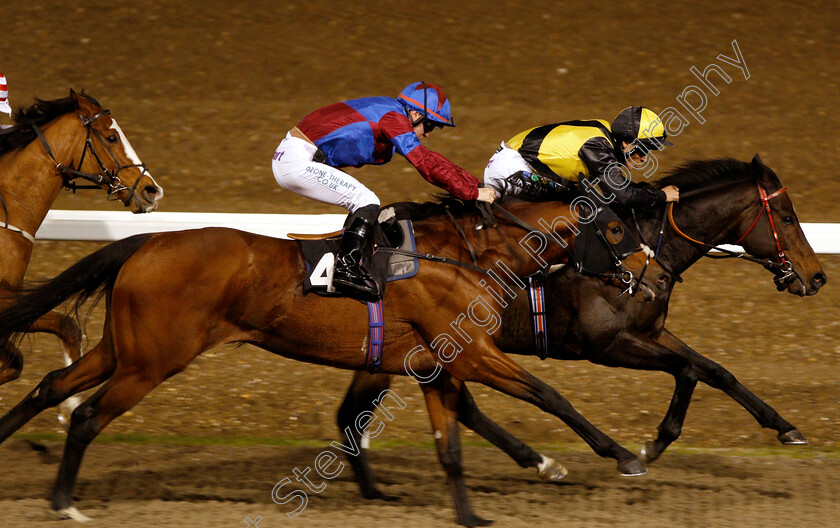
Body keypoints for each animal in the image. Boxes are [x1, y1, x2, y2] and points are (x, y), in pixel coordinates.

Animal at [0, 193, 664, 524]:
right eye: (613, 230)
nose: (656, 277)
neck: (466, 257)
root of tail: (147, 241)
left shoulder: (438, 362)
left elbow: (450, 444)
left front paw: (473, 514)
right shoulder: (474, 354)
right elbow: (551, 395)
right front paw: (622, 456)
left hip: (124, 348)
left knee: (52, 384)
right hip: (151, 363)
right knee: (87, 416)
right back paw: (65, 503)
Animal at [336, 154, 828, 500]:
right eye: (787, 217)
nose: (818, 277)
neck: (646, 249)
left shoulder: (650, 332)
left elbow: (715, 370)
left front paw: (785, 426)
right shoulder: (606, 345)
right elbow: (687, 371)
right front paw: (651, 446)